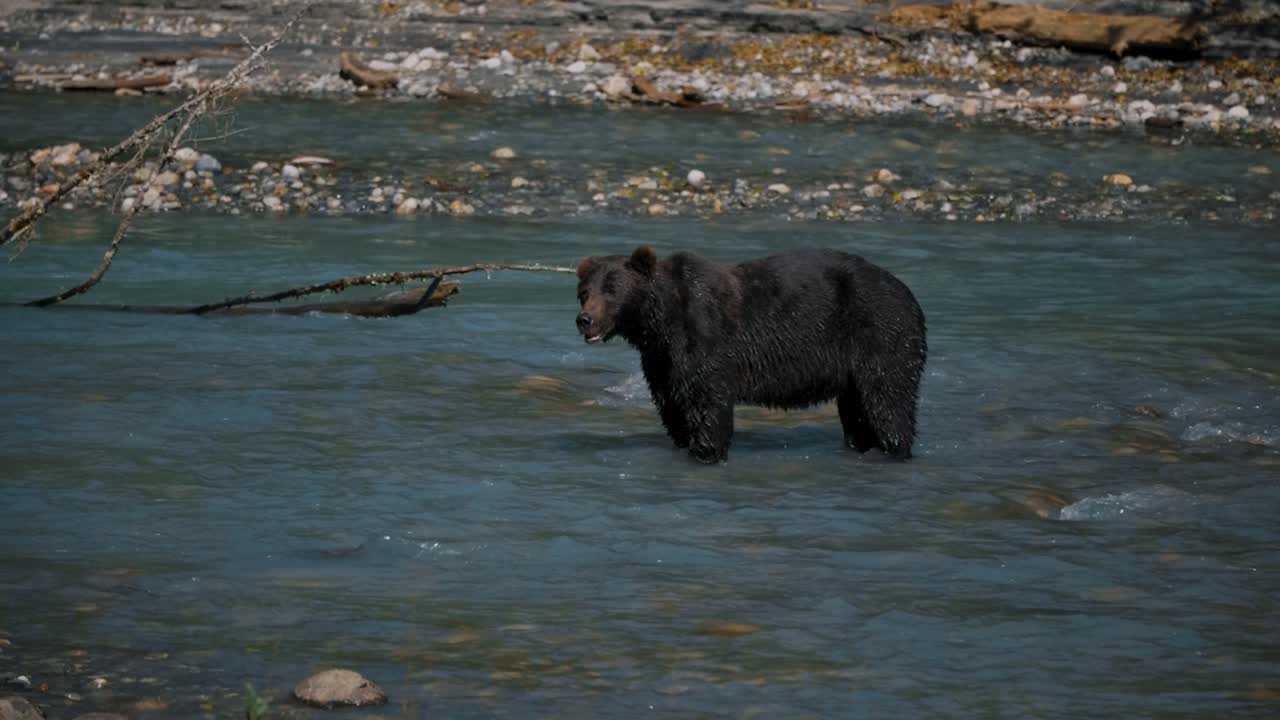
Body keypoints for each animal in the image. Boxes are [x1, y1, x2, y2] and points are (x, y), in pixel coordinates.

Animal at [575, 246, 927, 464]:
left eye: (612, 290)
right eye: (584, 292)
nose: (584, 320)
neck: (660, 322)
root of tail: (907, 291)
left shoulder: (706, 340)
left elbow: (708, 407)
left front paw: (707, 452)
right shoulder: (662, 360)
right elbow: (674, 408)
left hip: (881, 334)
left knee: (888, 403)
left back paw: (895, 448)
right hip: (854, 371)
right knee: (858, 415)